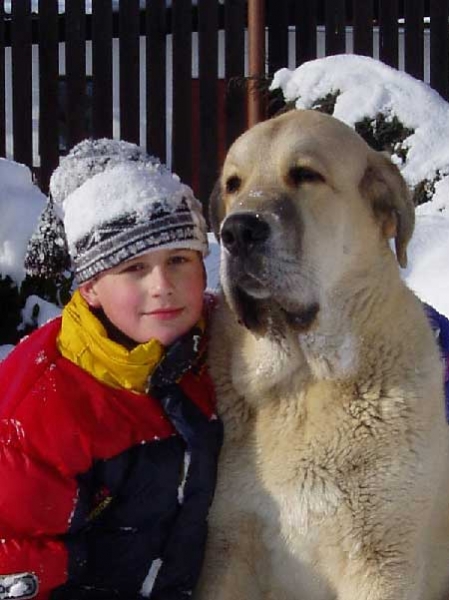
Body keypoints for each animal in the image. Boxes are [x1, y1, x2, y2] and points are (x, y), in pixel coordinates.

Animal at [198, 110, 448, 600]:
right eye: (234, 183)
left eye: (305, 175)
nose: (236, 231)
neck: (301, 384)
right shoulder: (228, 547)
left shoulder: (382, 561)